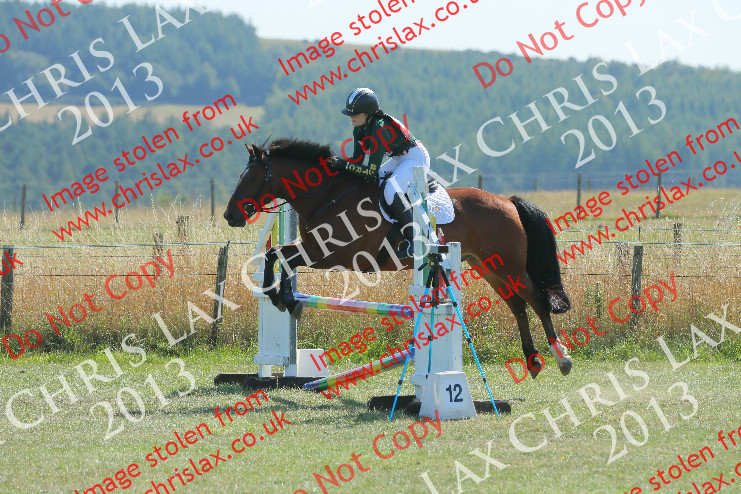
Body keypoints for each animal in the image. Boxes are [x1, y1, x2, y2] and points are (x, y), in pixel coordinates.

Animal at [223, 137, 573, 378]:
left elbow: (286, 258)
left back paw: (561, 359)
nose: (230, 216)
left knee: (536, 300)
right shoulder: (313, 247)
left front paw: (285, 299)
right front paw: (279, 296)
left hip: (509, 266)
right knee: (517, 306)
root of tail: (508, 202)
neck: (328, 196)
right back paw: (533, 361)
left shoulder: (335, 254)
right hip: (488, 267)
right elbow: (276, 254)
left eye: (251, 178)